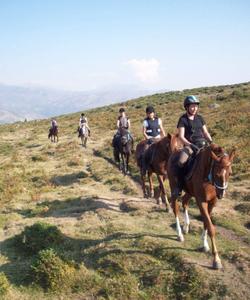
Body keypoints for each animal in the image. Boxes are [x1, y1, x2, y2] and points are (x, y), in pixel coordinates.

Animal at [167, 134, 235, 270]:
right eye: (217, 173)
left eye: (230, 173)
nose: (221, 194)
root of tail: (174, 152)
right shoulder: (201, 201)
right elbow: (210, 226)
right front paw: (216, 260)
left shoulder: (212, 202)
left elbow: (206, 223)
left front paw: (204, 244)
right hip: (174, 189)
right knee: (175, 207)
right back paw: (179, 234)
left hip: (189, 192)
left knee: (185, 202)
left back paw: (186, 226)